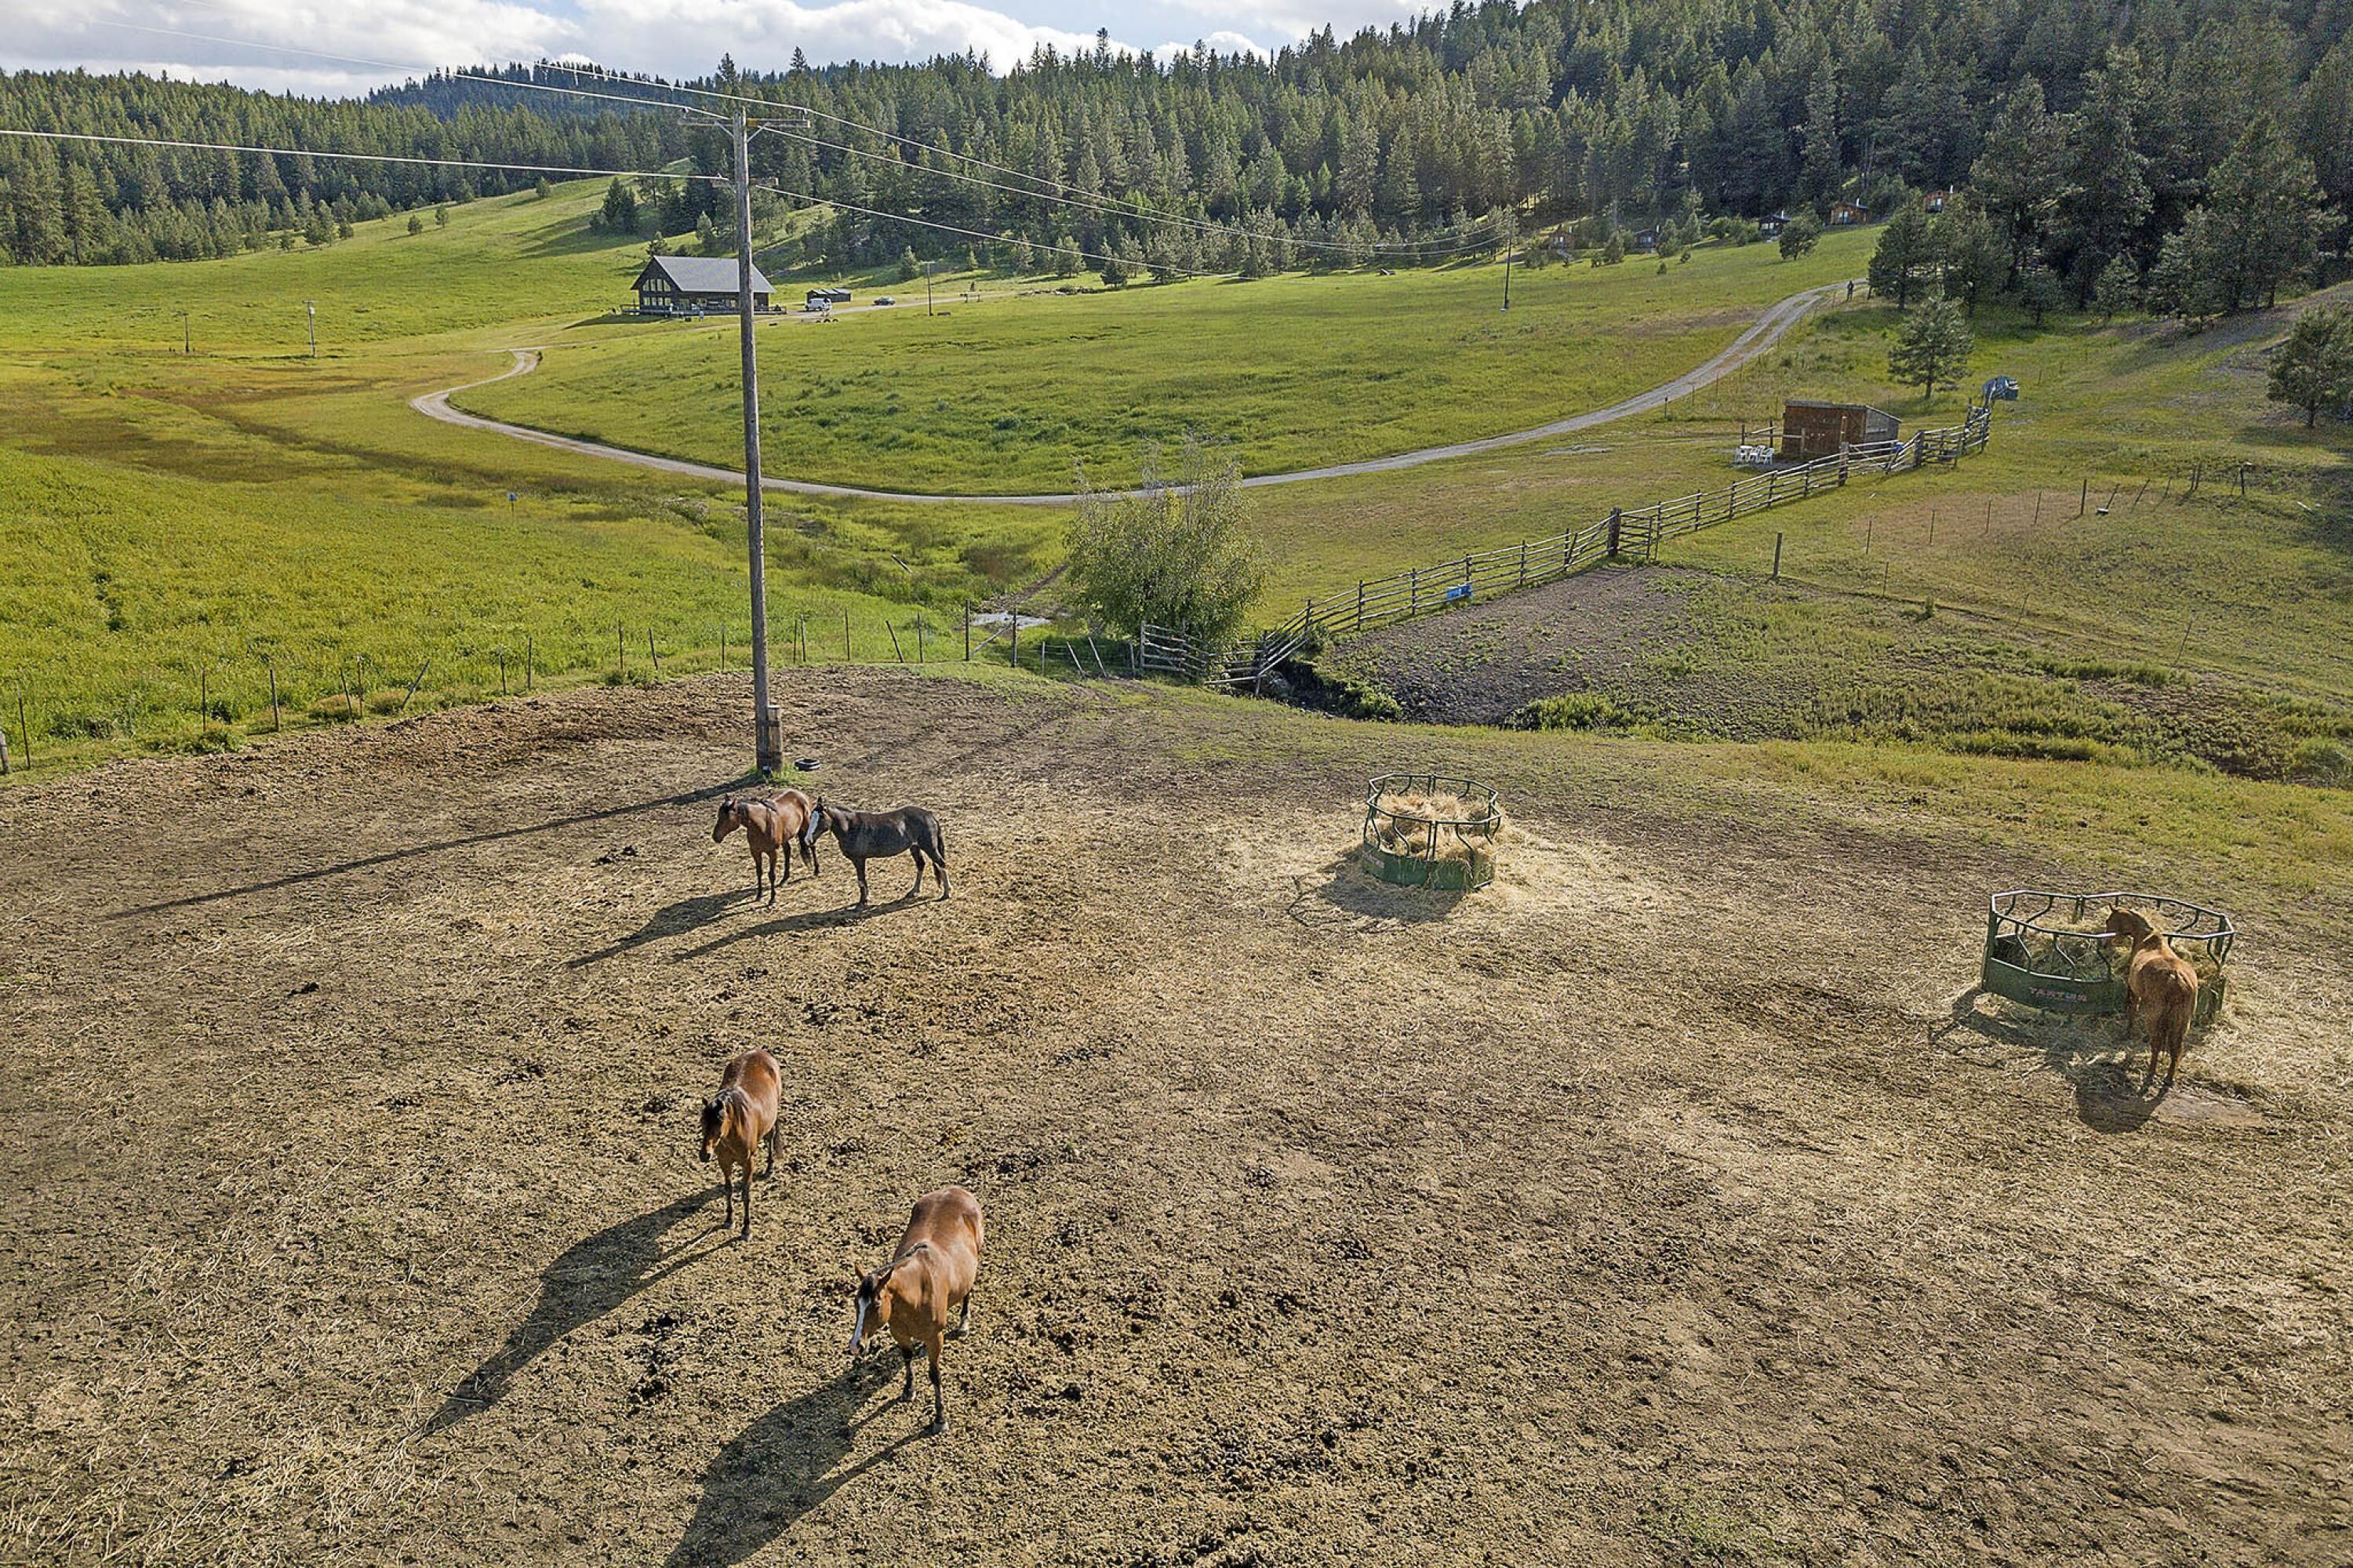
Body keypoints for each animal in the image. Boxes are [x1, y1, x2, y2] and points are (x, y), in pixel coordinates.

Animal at [697, 1049, 783, 1237]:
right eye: (702, 1121)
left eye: (719, 1121)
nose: (705, 1155)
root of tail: (761, 1052)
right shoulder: (724, 1161)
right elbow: (728, 1189)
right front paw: (729, 1219)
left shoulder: (748, 1162)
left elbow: (746, 1193)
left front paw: (746, 1228)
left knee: (771, 1138)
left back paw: (769, 1168)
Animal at [712, 791, 819, 906]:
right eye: (719, 816)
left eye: (726, 818)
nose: (715, 837)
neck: (762, 825)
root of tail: (802, 795)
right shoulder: (755, 852)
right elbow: (759, 872)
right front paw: (759, 895)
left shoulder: (772, 853)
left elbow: (771, 875)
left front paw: (772, 899)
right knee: (787, 851)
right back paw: (784, 879)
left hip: (807, 826)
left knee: (812, 846)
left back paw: (816, 871)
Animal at [802, 798, 948, 907]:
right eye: (811, 816)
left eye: (821, 817)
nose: (808, 839)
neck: (851, 827)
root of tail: (929, 814)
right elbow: (862, 880)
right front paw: (865, 899)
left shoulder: (859, 859)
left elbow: (861, 880)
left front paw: (862, 902)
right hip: (915, 847)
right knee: (921, 865)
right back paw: (913, 891)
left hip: (929, 847)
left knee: (941, 864)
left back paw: (946, 893)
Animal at [849, 1186, 984, 1435]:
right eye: (856, 1303)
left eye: (877, 1304)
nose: (856, 1346)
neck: (917, 1291)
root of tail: (957, 1190)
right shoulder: (900, 1334)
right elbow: (907, 1357)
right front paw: (908, 1390)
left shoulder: (936, 1337)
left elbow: (935, 1374)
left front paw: (940, 1419)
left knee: (968, 1290)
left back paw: (963, 1324)